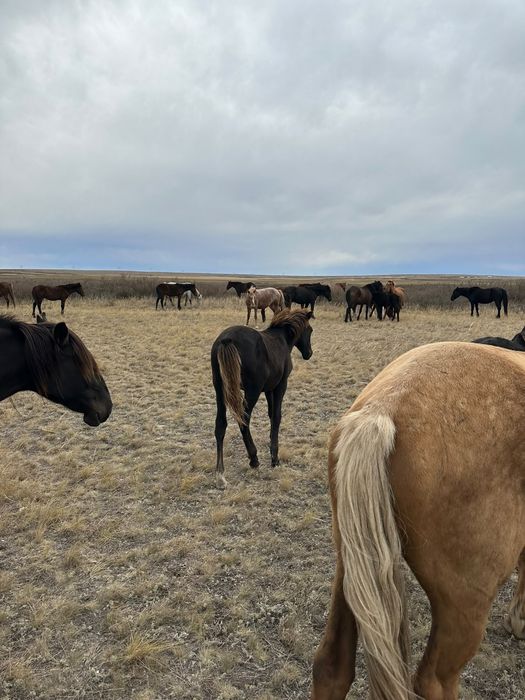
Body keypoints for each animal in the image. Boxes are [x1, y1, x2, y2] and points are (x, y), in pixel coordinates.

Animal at [211, 309, 314, 488]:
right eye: (310, 330)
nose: (309, 353)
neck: (282, 339)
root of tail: (226, 340)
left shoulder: (268, 389)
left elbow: (271, 414)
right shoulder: (280, 386)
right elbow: (277, 416)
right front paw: (274, 458)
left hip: (220, 389)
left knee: (220, 425)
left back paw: (220, 475)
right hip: (252, 391)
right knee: (244, 420)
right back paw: (254, 459)